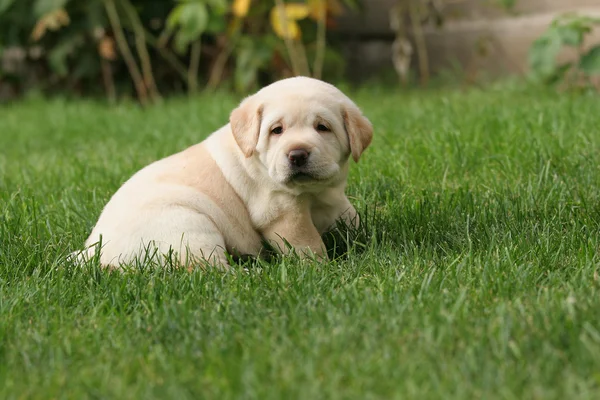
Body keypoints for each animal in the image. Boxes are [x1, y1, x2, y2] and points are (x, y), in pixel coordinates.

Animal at [77, 76, 372, 268]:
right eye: (276, 130)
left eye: (323, 127)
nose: (297, 155)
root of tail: (92, 253)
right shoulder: (281, 212)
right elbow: (307, 244)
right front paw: (324, 269)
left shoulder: (333, 195)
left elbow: (350, 215)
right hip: (190, 227)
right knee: (207, 270)